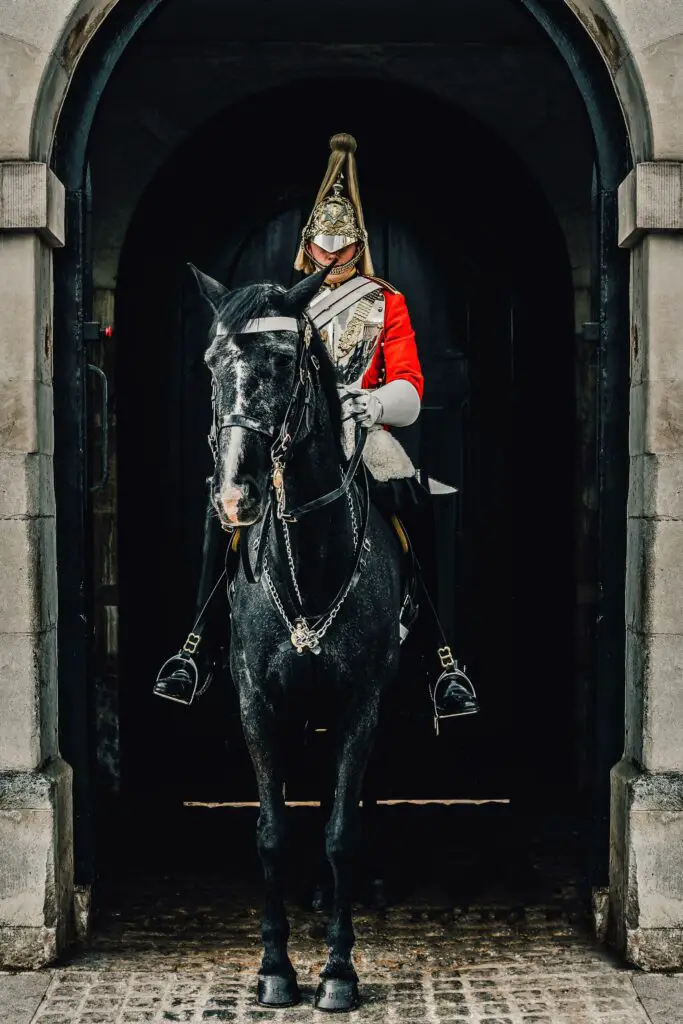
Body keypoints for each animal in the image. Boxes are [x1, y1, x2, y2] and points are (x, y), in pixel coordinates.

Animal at [192, 262, 403, 1007]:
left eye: (284, 361)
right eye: (211, 361)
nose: (235, 496)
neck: (310, 565)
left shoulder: (362, 702)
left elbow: (341, 829)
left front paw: (338, 972)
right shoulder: (258, 702)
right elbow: (272, 831)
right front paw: (275, 969)